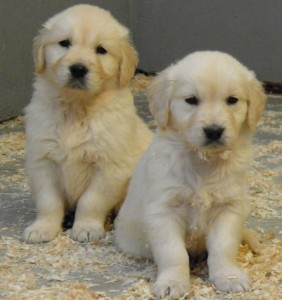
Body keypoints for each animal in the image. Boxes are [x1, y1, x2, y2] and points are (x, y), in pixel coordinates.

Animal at [23, 4, 152, 244]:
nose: (78, 69)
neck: (76, 110)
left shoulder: (109, 167)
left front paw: (86, 228)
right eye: (64, 43)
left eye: (101, 50)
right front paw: (42, 228)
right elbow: (48, 202)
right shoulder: (42, 161)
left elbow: (91, 201)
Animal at [115, 51, 266, 298]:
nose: (214, 131)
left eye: (232, 100)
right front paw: (172, 283)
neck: (202, 161)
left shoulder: (229, 208)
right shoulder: (163, 211)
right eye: (191, 100)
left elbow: (224, 247)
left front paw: (229, 277)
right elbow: (173, 253)